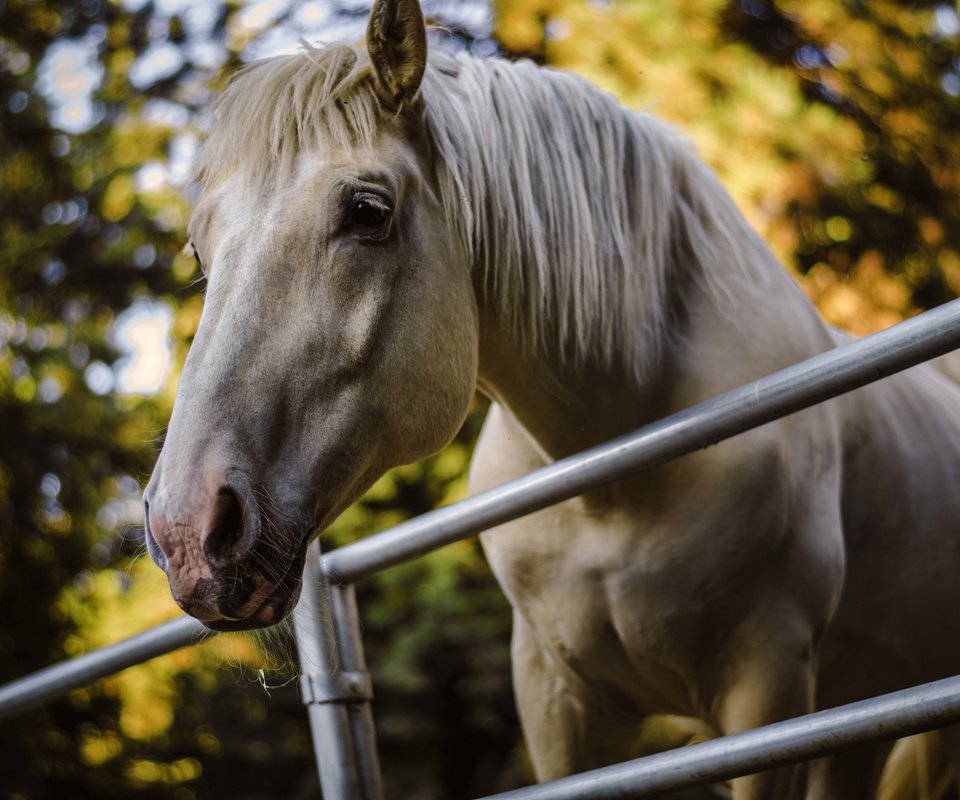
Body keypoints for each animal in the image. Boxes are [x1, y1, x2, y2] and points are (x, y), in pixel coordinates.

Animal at [141, 3, 960, 796]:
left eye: (368, 211)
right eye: (198, 250)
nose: (188, 534)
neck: (617, 476)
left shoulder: (770, 688)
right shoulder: (554, 697)